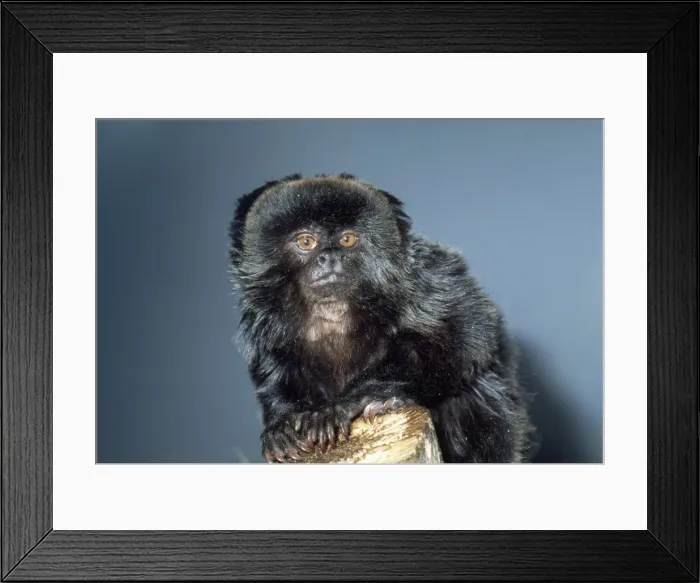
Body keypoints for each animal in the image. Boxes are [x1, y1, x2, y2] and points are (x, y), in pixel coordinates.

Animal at [227, 172, 538, 463]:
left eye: (347, 240)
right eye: (306, 242)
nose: (330, 258)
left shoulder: (423, 278)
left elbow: (468, 334)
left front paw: (354, 401)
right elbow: (273, 369)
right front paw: (282, 423)